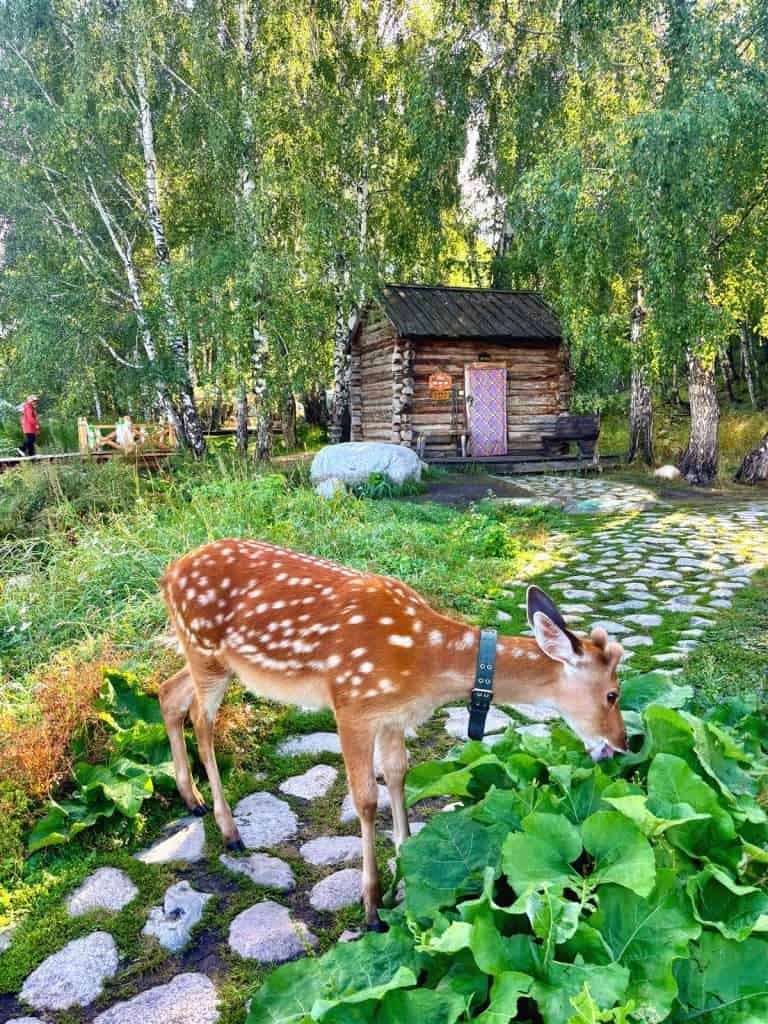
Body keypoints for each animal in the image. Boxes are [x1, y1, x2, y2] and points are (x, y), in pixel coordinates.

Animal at [158, 539, 627, 929]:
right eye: (612, 694)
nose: (623, 745)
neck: (426, 663)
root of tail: (169, 572)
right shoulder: (351, 705)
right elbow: (366, 799)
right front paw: (371, 906)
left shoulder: (393, 717)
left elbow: (399, 776)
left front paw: (405, 872)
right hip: (205, 649)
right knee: (201, 718)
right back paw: (230, 830)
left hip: (208, 658)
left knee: (168, 693)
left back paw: (192, 799)